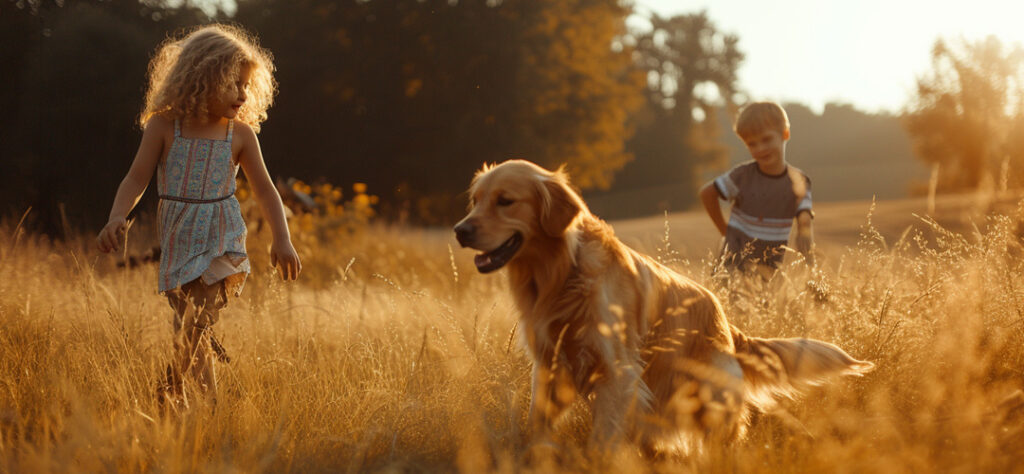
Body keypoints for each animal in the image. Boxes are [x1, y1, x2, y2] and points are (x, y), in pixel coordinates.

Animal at [456, 161, 872, 454]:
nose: (460, 230)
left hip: (706, 396)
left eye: (505, 201)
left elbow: (602, 441)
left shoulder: (617, 372)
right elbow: (538, 425)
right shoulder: (549, 366)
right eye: (475, 201)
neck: (562, 274)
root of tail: (725, 320)